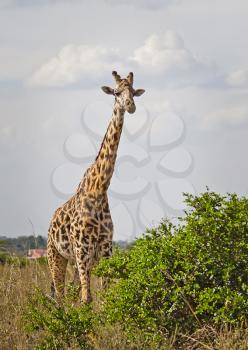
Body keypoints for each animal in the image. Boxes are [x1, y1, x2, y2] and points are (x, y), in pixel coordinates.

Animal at [47, 72, 144, 304]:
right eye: (116, 92)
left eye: (133, 92)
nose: (130, 105)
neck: (98, 189)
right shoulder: (83, 250)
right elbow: (87, 299)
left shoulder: (105, 249)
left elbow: (107, 297)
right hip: (56, 256)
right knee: (60, 296)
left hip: (73, 260)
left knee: (69, 292)